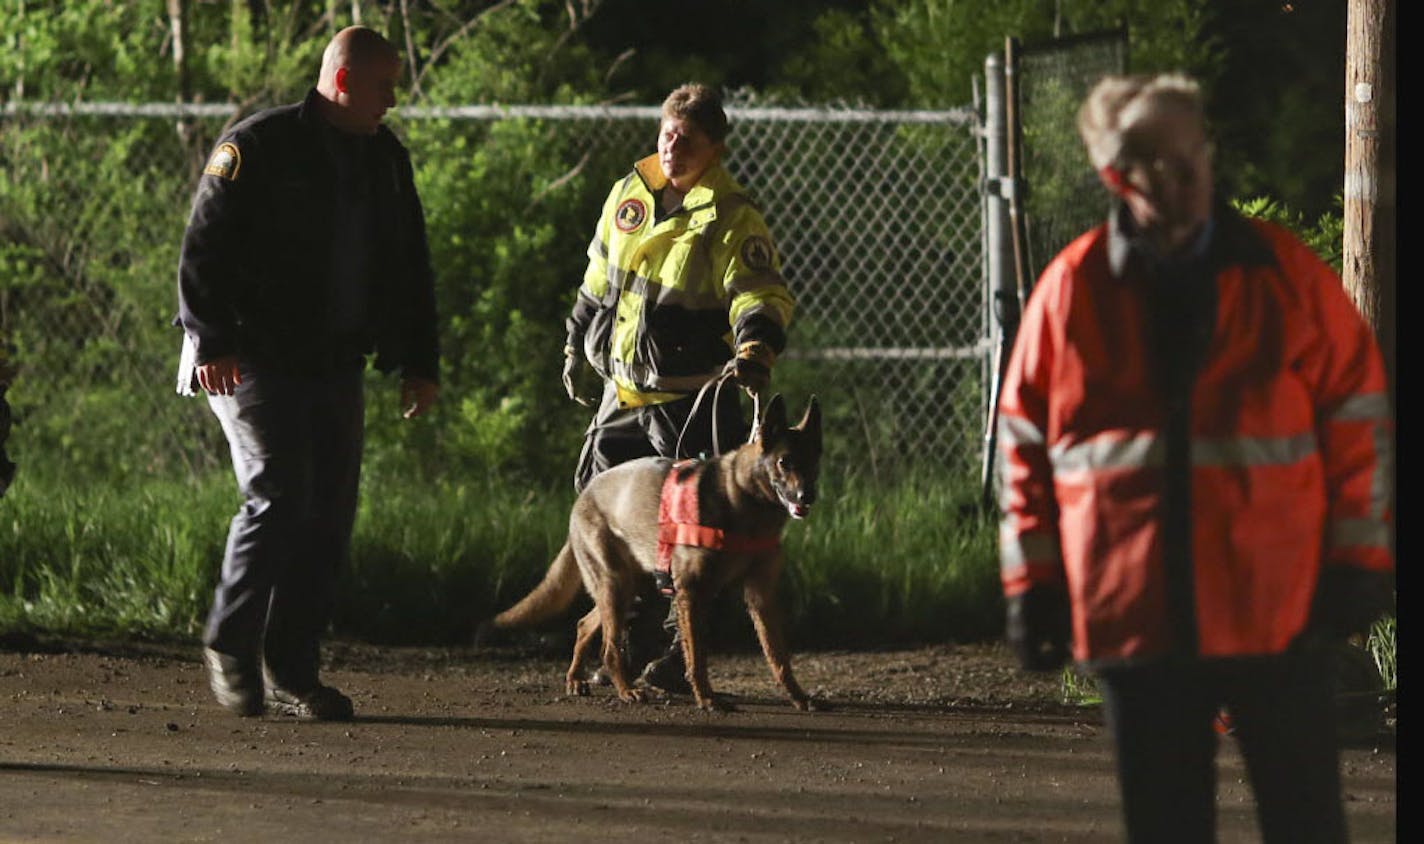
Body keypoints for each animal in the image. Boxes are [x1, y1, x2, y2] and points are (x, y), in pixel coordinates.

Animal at [487, 392, 825, 708]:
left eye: (813, 461)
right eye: (784, 461)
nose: (807, 496)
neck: (745, 499)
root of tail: (584, 495)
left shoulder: (761, 597)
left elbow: (779, 657)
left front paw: (799, 697)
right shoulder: (691, 591)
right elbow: (697, 655)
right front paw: (706, 698)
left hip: (627, 587)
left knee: (584, 625)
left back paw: (575, 679)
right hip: (615, 584)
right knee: (610, 648)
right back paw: (626, 690)